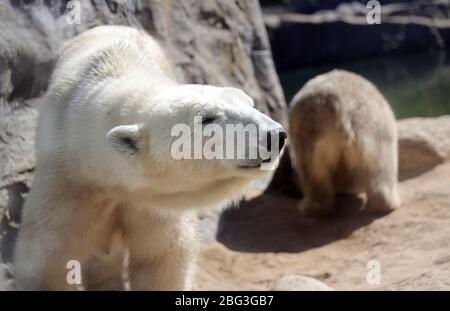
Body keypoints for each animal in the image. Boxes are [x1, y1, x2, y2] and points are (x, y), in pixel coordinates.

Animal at [14, 25, 288, 292]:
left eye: (251, 104)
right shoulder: (68, 186)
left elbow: (160, 261)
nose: (275, 135)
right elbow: (45, 264)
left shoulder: (154, 205)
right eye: (208, 118)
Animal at [290, 70, 400, 217]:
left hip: (310, 131)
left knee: (311, 170)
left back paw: (309, 207)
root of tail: (340, 104)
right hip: (374, 129)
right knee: (382, 165)